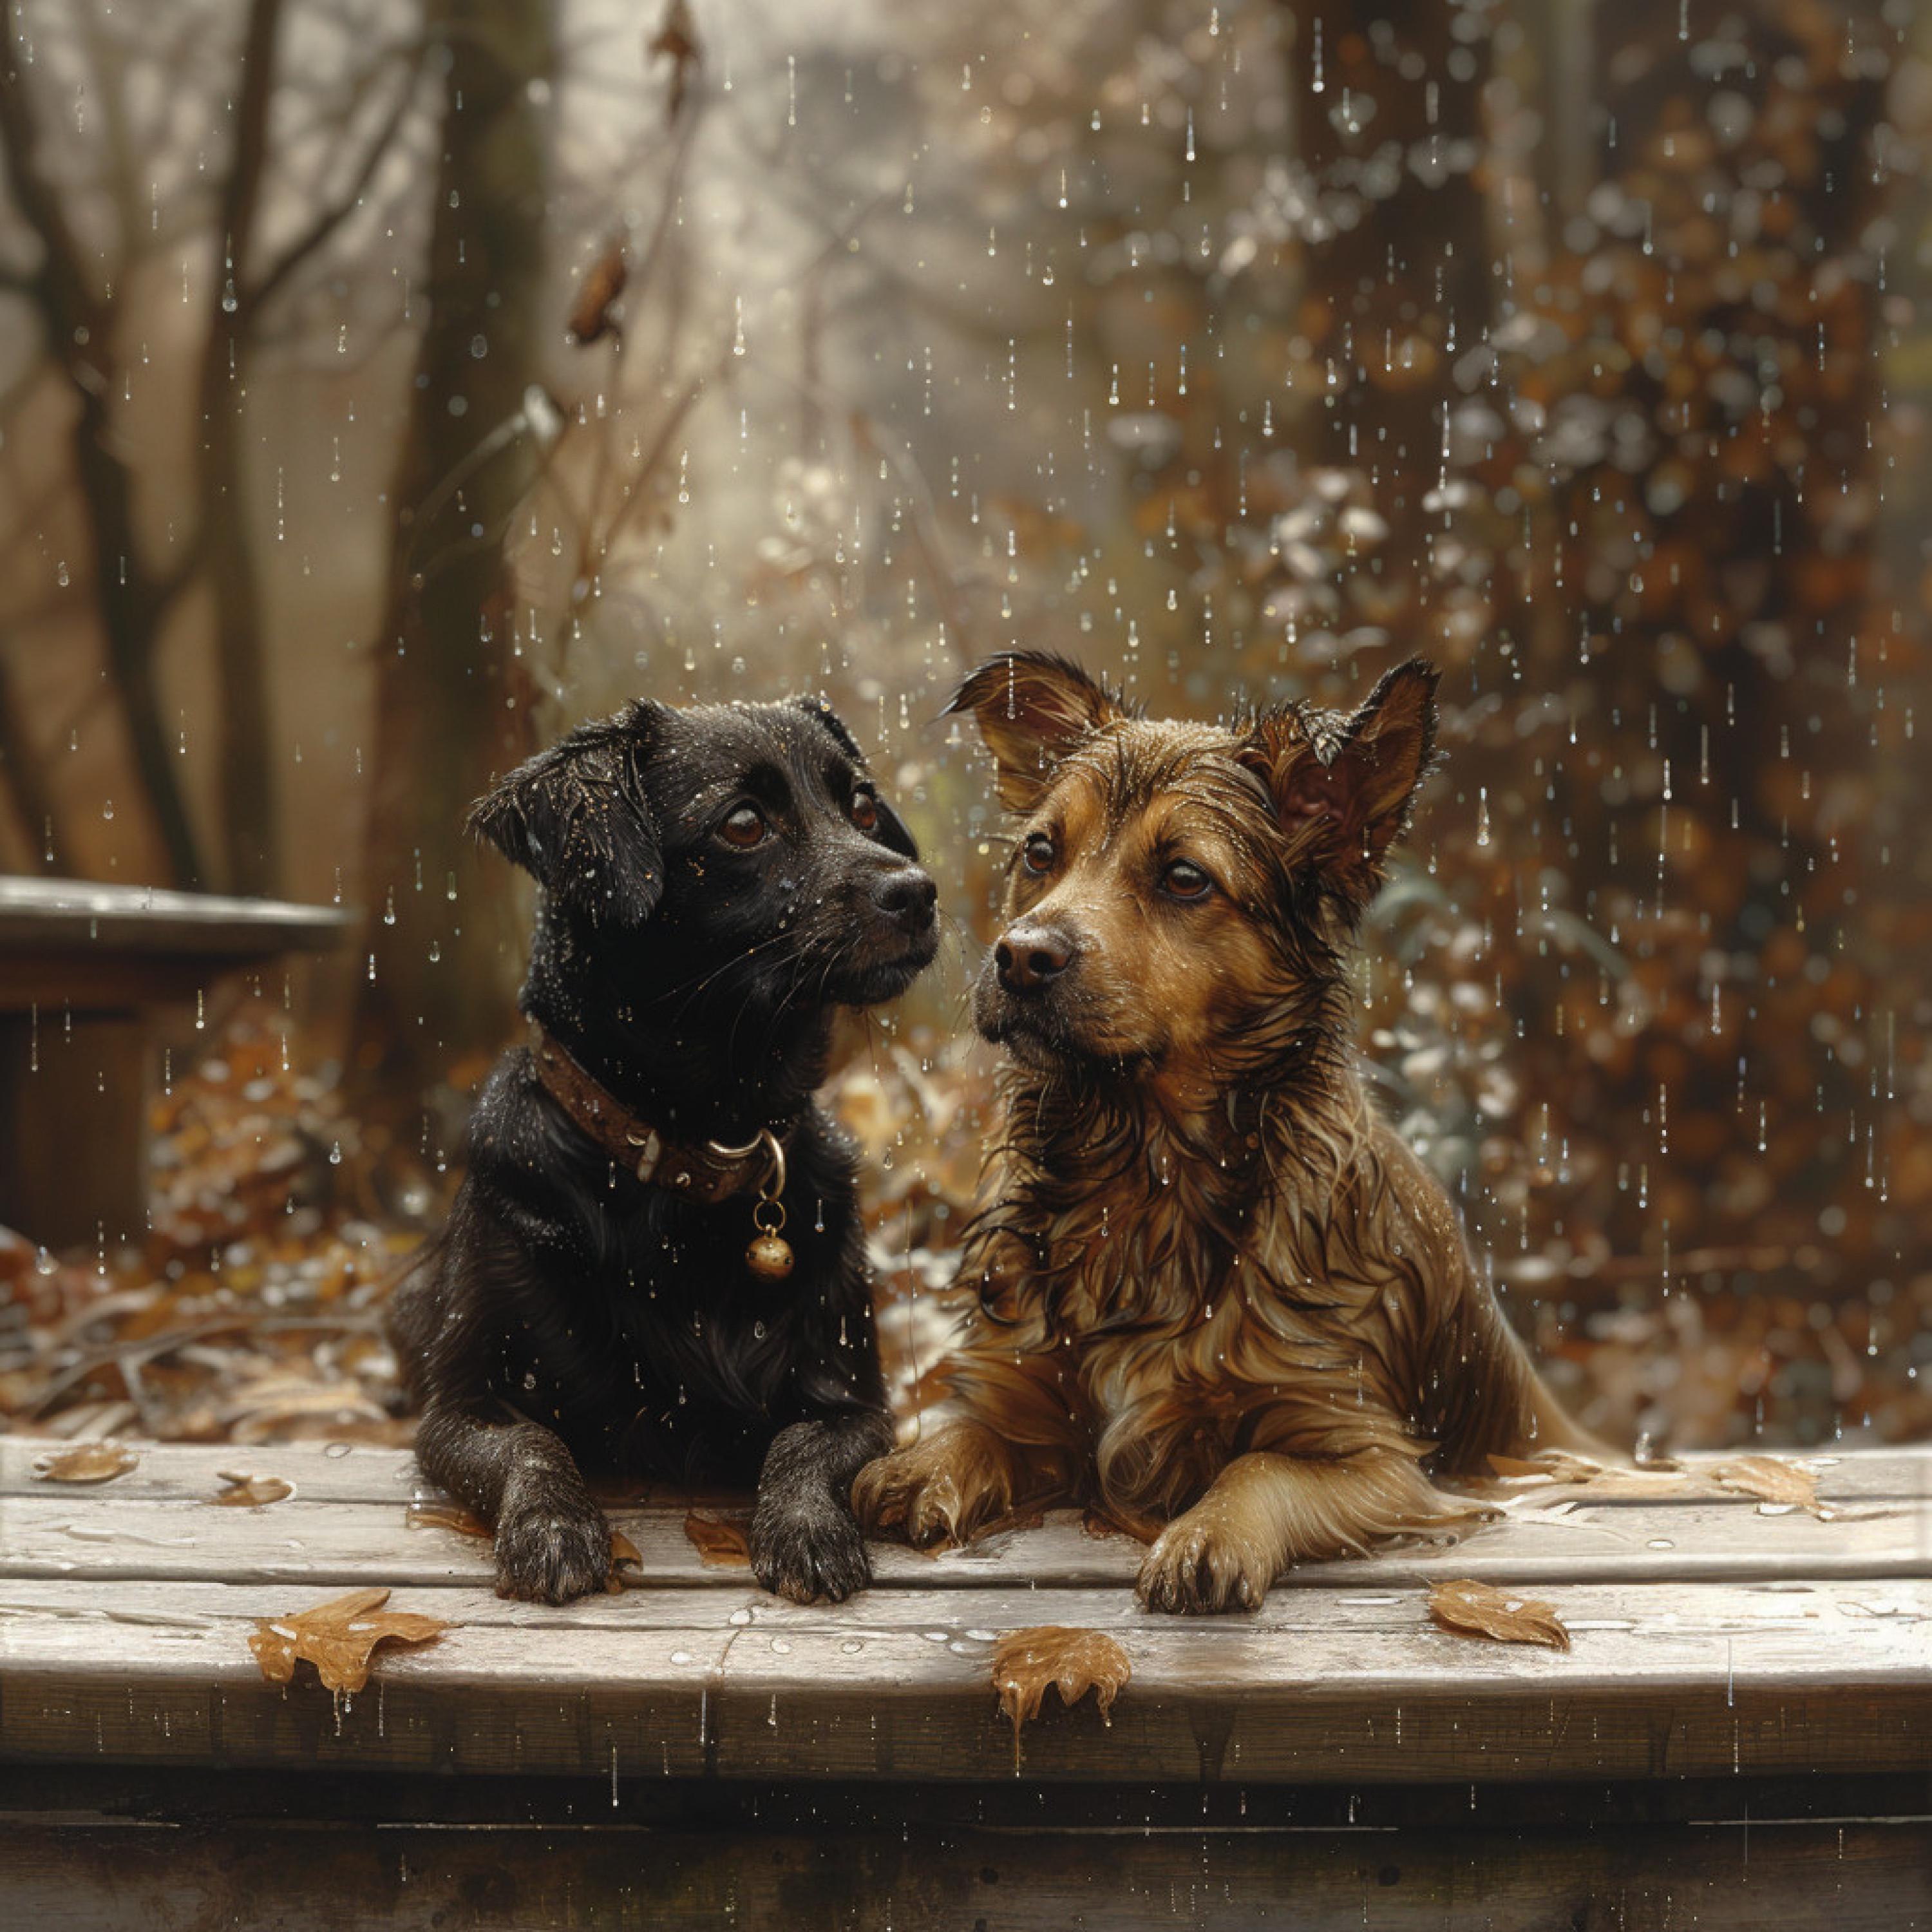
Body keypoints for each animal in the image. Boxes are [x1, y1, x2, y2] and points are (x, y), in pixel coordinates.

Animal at [388, 696, 939, 1600]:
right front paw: (553, 1526)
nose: (918, 892)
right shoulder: (458, 1411)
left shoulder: (859, 1403)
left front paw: (805, 1525)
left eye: (862, 806)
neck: (694, 1145)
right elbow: (533, 1445)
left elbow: (802, 1445)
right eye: (743, 823)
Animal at [854, 657, 1607, 1607]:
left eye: (1184, 877)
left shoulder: (1378, 1456)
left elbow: (1258, 1468)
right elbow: (979, 1428)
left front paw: (1210, 1533)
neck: (1141, 1167)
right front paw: (920, 1464)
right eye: (1040, 854)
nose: (1020, 957)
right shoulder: (1025, 1391)